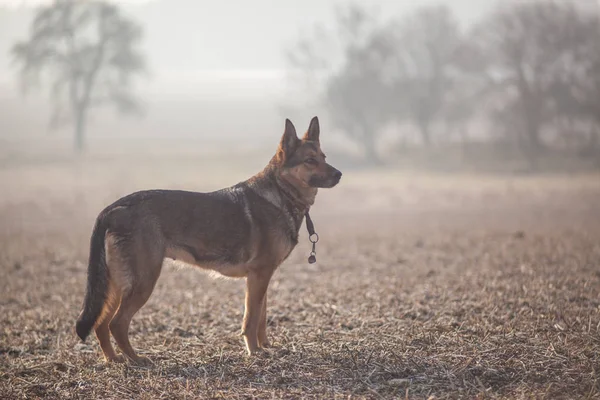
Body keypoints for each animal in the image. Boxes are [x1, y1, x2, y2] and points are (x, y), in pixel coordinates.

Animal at [75, 116, 342, 366]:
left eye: (324, 157)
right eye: (310, 161)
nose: (339, 174)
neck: (281, 193)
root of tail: (113, 208)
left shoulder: (263, 277)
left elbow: (262, 318)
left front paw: (266, 347)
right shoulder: (259, 275)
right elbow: (251, 319)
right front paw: (255, 352)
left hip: (117, 285)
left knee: (101, 325)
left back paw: (113, 360)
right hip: (143, 282)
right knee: (117, 324)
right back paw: (137, 360)